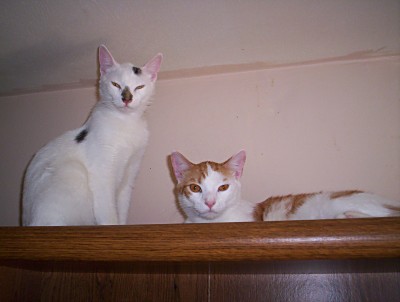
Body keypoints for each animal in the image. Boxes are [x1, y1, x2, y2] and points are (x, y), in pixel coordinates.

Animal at [21, 44, 162, 224]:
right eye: (115, 84)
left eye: (139, 87)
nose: (127, 98)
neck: (126, 123)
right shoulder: (102, 175)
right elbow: (109, 214)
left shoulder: (129, 177)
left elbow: (122, 213)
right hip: (73, 172)